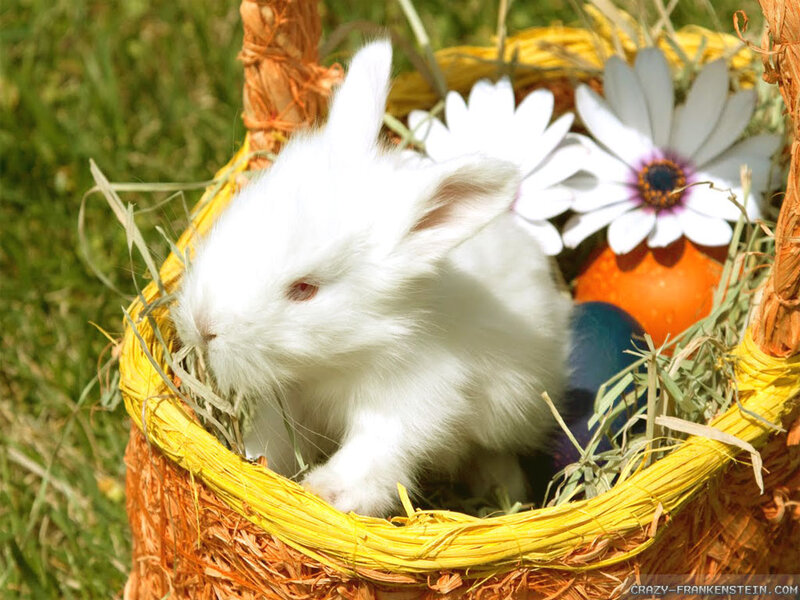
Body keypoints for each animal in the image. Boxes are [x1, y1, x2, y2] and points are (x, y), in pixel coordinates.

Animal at [172, 39, 572, 517]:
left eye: (305, 289)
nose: (203, 326)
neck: (347, 356)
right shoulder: (289, 400)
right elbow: (275, 439)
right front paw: (254, 461)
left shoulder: (414, 400)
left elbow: (375, 452)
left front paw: (326, 493)